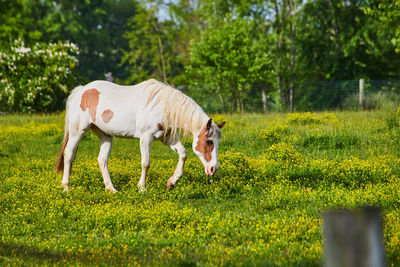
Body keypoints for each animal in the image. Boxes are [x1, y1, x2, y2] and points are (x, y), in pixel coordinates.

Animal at [54, 79, 225, 193]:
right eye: (209, 141)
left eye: (217, 143)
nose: (213, 169)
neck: (162, 106)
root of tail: (81, 90)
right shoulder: (146, 138)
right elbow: (146, 163)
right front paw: (142, 188)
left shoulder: (167, 138)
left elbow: (183, 154)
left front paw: (171, 182)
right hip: (77, 132)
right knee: (69, 155)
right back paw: (66, 187)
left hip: (105, 136)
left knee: (102, 160)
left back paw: (111, 189)